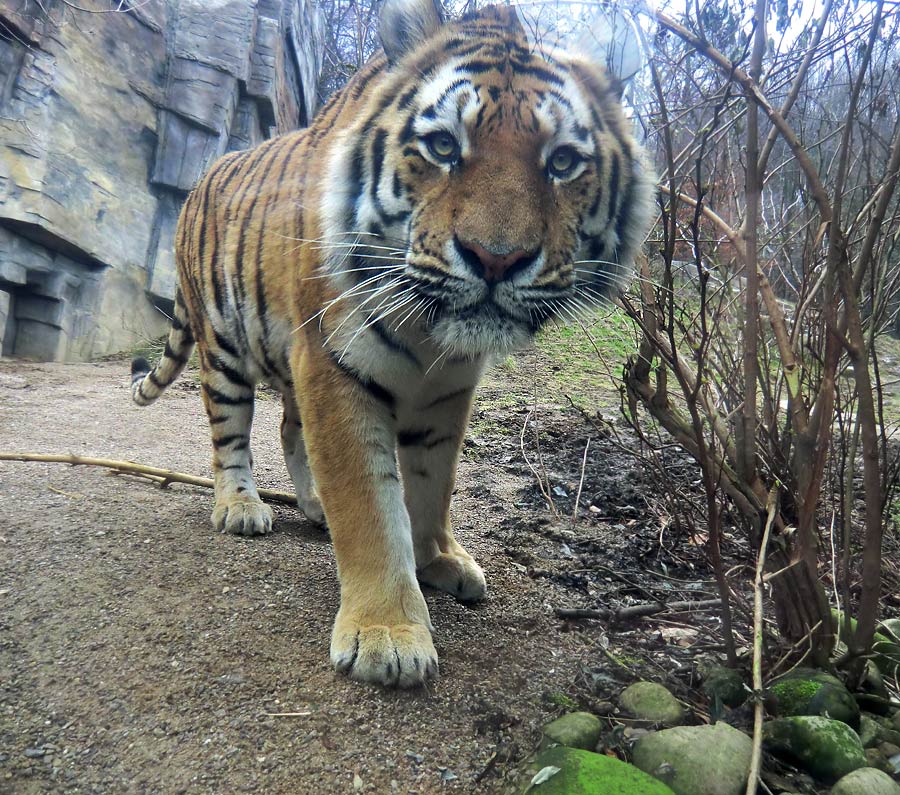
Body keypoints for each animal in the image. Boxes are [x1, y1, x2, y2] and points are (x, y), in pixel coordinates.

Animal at [130, 0, 652, 688]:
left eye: (563, 161)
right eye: (443, 146)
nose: (496, 258)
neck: (431, 332)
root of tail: (198, 182)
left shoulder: (447, 392)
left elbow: (432, 483)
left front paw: (437, 560)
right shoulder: (334, 364)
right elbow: (371, 507)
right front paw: (388, 634)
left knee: (289, 429)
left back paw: (311, 506)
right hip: (223, 350)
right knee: (230, 434)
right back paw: (240, 506)